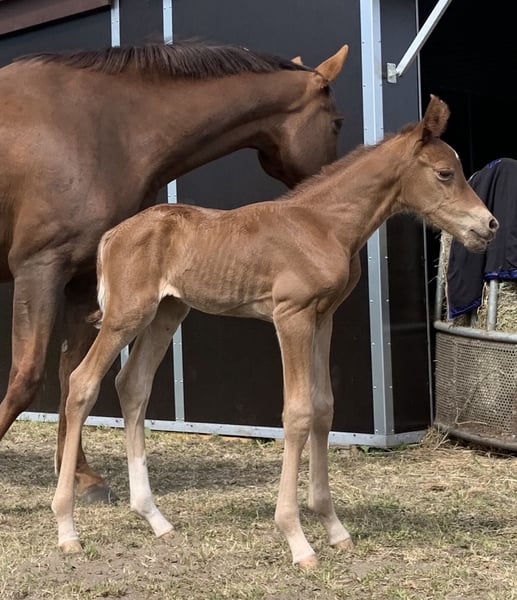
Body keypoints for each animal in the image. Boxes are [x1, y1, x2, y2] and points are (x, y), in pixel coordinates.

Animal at [0, 40, 349, 502]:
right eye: (337, 123)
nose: (330, 188)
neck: (101, 126)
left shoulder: (81, 279)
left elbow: (71, 374)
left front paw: (81, 476)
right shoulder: (38, 269)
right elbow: (26, 377)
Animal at [51, 95, 498, 567]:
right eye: (445, 173)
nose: (488, 225)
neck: (323, 225)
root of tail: (111, 236)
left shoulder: (324, 317)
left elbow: (324, 408)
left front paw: (334, 527)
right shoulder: (292, 316)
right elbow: (297, 412)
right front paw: (297, 539)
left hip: (166, 313)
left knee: (132, 385)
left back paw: (156, 519)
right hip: (127, 315)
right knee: (82, 382)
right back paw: (66, 527)